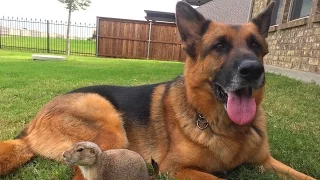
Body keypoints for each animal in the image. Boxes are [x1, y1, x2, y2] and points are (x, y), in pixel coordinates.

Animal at [0, 1, 316, 180]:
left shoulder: (266, 162)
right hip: (108, 129)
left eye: (255, 46)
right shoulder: (176, 169)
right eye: (220, 46)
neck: (222, 126)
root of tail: (32, 126)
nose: (253, 70)